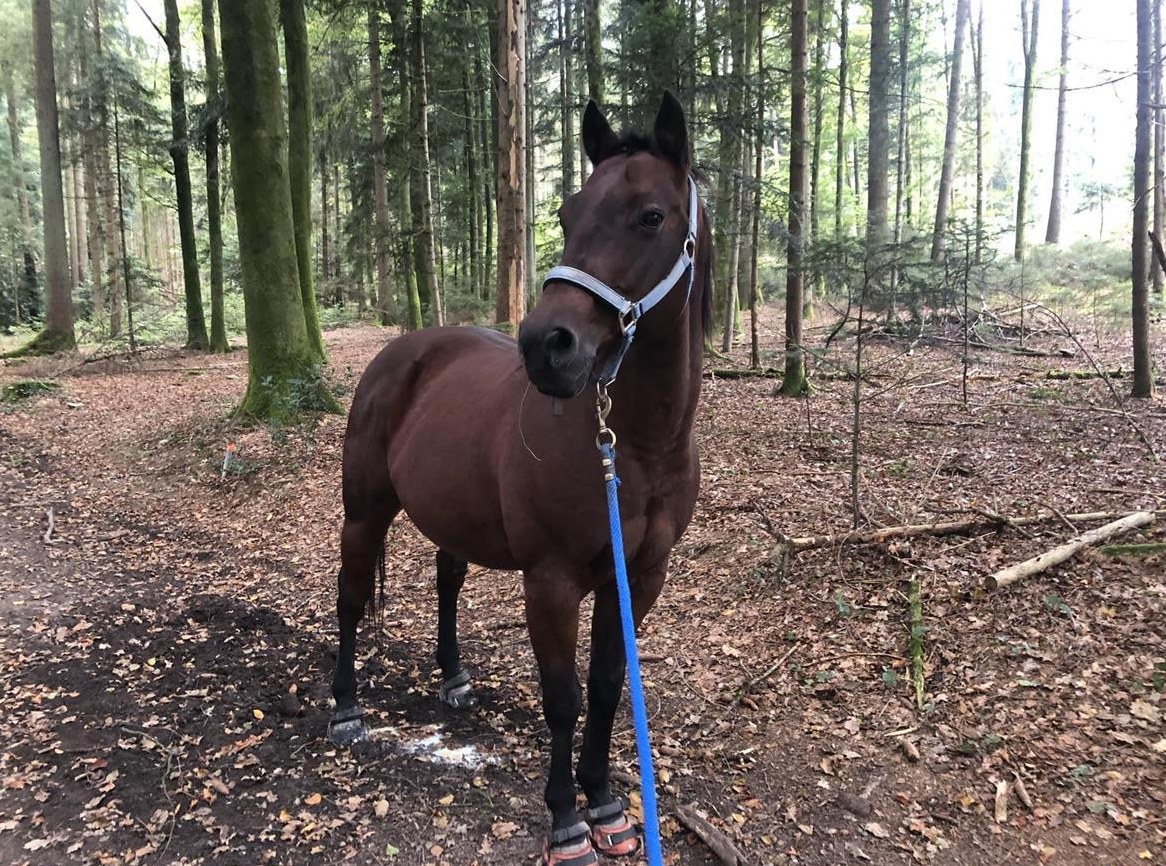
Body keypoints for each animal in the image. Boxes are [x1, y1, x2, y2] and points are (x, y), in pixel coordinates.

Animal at [329, 91, 711, 866]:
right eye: (567, 212)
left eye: (651, 216)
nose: (546, 345)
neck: (634, 447)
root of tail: (401, 352)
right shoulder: (553, 579)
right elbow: (562, 696)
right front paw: (566, 820)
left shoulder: (640, 578)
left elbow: (607, 686)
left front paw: (605, 804)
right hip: (365, 510)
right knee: (350, 597)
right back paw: (347, 707)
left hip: (451, 510)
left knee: (446, 579)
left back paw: (453, 677)